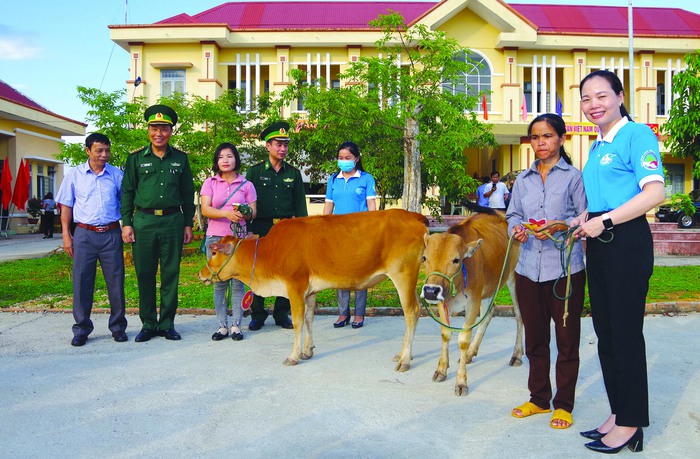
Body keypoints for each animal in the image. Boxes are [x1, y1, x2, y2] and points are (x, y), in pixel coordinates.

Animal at [197, 210, 426, 372]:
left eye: (214, 252)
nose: (201, 273)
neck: (269, 252)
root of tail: (412, 215)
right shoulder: (309, 291)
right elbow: (308, 319)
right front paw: (307, 351)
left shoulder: (294, 286)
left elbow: (297, 321)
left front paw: (293, 356)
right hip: (411, 280)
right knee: (416, 310)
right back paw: (404, 354)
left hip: (403, 275)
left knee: (411, 312)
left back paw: (405, 360)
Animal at [418, 208, 524, 396]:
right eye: (424, 258)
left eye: (456, 260)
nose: (430, 290)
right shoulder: (442, 301)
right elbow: (446, 334)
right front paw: (441, 370)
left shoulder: (473, 302)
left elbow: (463, 340)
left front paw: (461, 382)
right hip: (489, 288)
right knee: (490, 311)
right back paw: (469, 354)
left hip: (513, 279)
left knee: (519, 315)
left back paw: (517, 355)